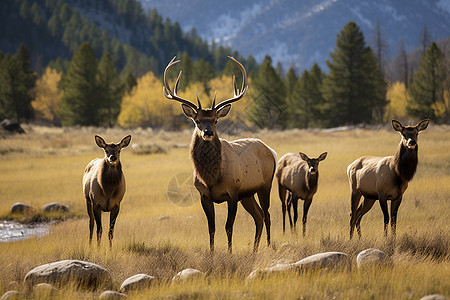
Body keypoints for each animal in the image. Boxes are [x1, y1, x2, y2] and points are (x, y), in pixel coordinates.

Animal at [164, 55, 278, 253]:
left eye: (216, 120)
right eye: (197, 121)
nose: (208, 132)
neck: (211, 177)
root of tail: (271, 151)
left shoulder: (233, 191)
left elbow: (228, 226)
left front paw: (230, 253)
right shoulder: (204, 195)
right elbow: (211, 227)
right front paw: (211, 254)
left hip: (265, 185)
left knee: (267, 215)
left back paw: (269, 246)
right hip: (248, 194)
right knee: (259, 216)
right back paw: (254, 250)